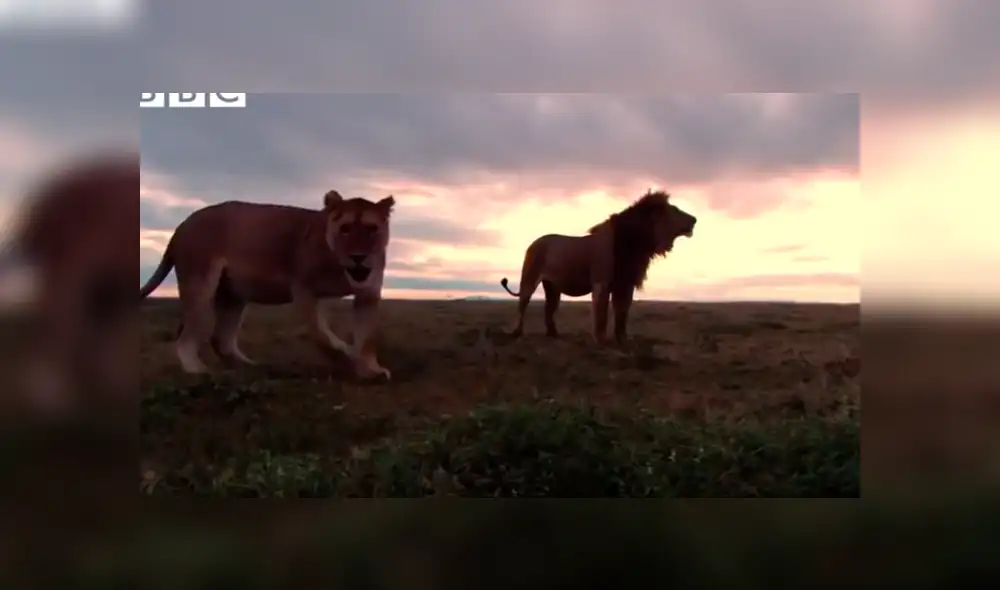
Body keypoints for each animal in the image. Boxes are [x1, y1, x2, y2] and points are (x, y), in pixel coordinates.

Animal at [138, 190, 396, 380]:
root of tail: (182, 225)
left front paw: (370, 369)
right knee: (186, 334)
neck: (340, 266)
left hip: (232, 294)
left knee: (221, 338)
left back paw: (252, 367)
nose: (358, 257)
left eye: (372, 229)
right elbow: (320, 334)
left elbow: (367, 338)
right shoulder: (303, 289)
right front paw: (346, 355)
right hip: (199, 282)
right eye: (346, 229)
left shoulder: (368, 293)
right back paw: (197, 370)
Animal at [500, 190, 696, 344]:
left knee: (549, 309)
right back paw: (517, 333)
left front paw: (623, 340)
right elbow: (601, 315)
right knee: (522, 305)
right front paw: (601, 341)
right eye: (675, 209)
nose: (694, 219)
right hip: (529, 278)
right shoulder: (602, 283)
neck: (635, 243)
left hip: (553, 287)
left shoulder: (625, 284)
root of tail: (533, 243)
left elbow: (622, 314)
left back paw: (554, 335)